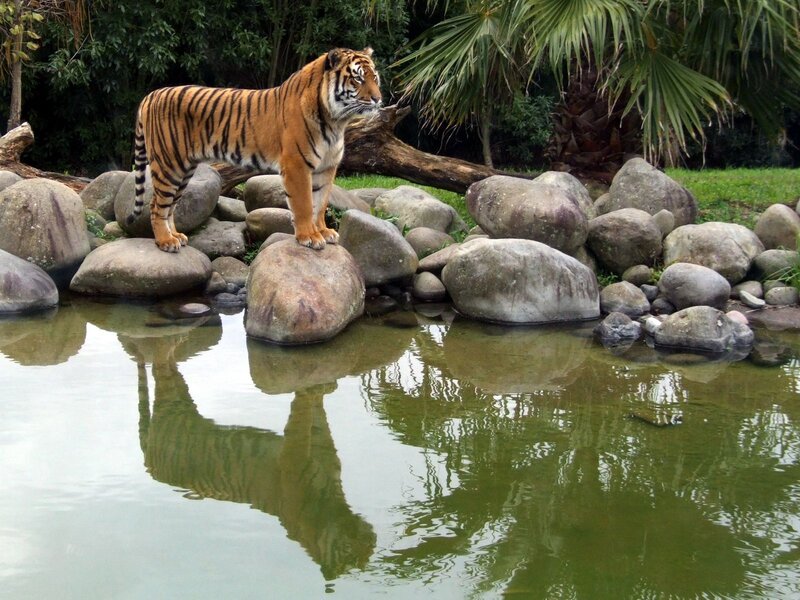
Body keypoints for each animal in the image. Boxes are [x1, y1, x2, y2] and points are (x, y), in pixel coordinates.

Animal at [128, 47, 382, 252]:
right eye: (358, 79)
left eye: (375, 78)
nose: (378, 99)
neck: (335, 121)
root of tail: (152, 94)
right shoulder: (297, 165)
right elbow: (304, 204)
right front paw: (309, 237)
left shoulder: (327, 168)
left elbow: (320, 204)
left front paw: (323, 232)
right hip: (169, 165)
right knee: (156, 206)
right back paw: (165, 241)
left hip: (184, 169)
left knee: (170, 206)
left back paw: (176, 236)